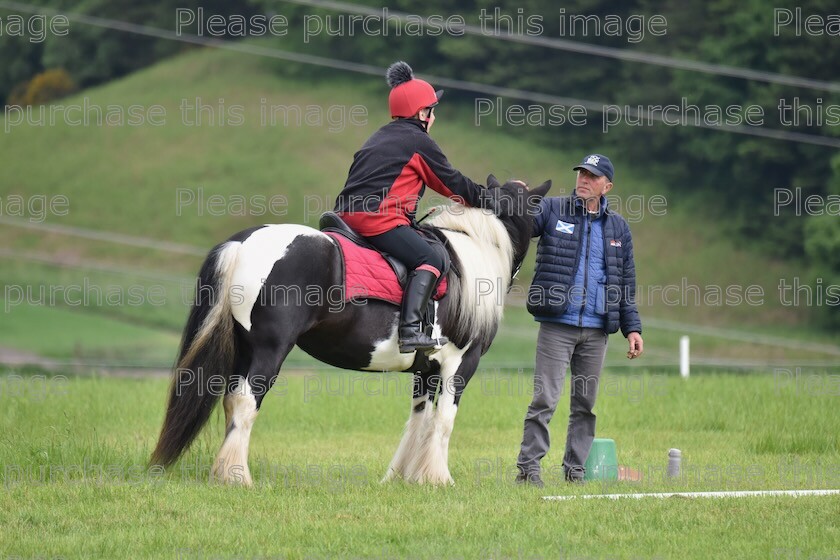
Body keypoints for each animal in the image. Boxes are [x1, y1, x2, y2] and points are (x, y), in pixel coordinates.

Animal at [151, 176, 552, 486]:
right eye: (535, 207)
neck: (471, 258)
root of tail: (243, 242)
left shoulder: (426, 370)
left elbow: (419, 420)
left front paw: (404, 477)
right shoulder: (460, 363)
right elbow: (443, 421)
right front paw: (439, 479)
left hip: (244, 347)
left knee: (231, 402)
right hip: (269, 350)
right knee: (246, 400)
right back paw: (237, 476)